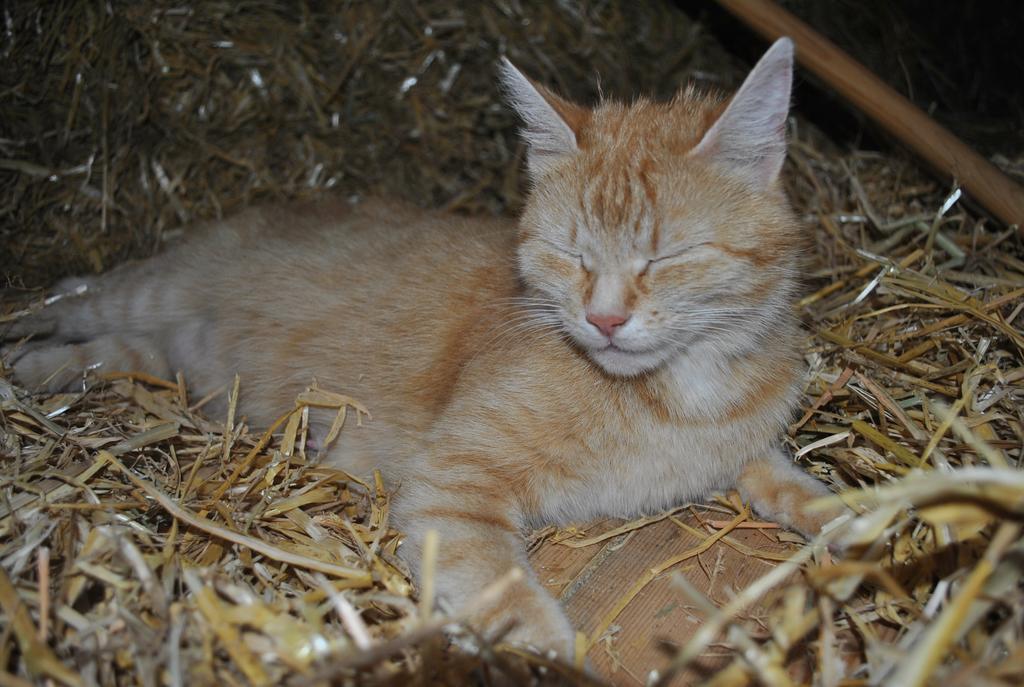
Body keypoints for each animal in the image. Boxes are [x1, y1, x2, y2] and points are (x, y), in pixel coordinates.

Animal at [8, 40, 839, 659]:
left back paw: (34, 372)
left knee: (105, 354)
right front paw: (544, 647)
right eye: (570, 254)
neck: (678, 396)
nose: (603, 319)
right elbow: (503, 587)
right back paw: (20, 338)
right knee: (69, 298)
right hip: (144, 294)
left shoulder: (741, 450)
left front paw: (855, 520)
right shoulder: (454, 478)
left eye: (667, 258)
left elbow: (793, 483)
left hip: (168, 364)